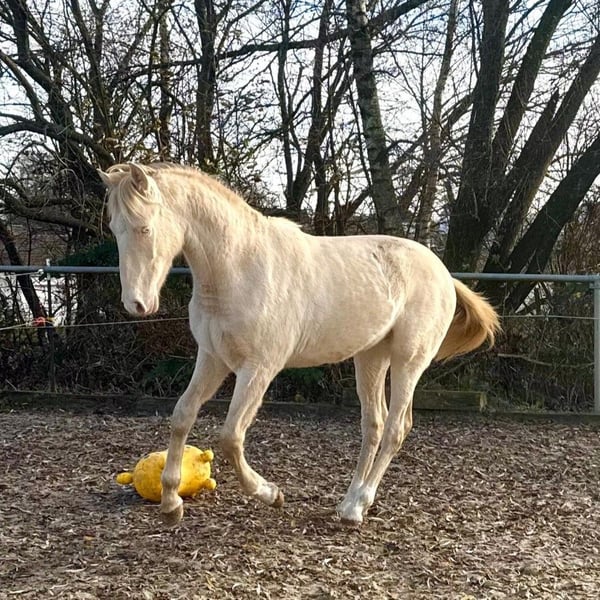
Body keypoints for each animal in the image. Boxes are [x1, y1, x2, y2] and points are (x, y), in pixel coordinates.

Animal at [99, 162, 499, 526]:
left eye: (145, 228)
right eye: (116, 229)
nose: (136, 304)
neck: (240, 267)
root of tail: (444, 273)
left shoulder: (258, 369)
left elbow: (231, 436)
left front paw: (270, 493)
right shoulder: (213, 359)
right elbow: (182, 416)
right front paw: (171, 503)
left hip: (407, 362)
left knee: (395, 428)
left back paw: (358, 506)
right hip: (370, 358)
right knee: (373, 425)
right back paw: (349, 503)